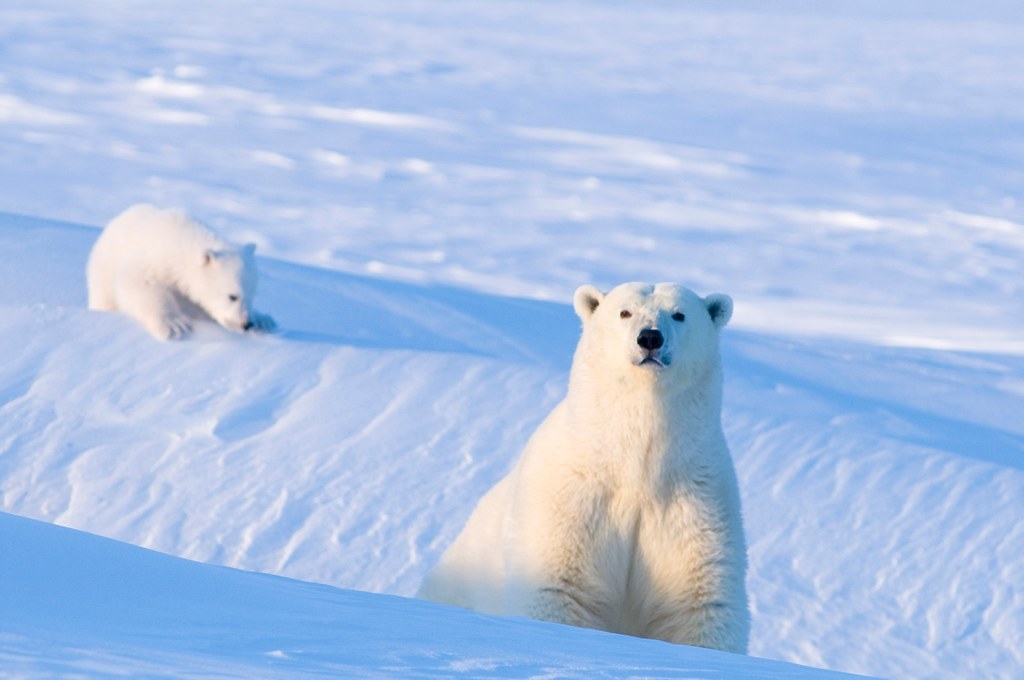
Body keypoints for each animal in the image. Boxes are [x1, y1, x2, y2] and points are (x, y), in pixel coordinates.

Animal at [86, 201, 276, 340]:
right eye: (232, 296)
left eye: (253, 294)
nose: (246, 324)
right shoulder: (156, 259)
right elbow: (138, 282)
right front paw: (174, 325)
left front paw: (263, 321)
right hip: (103, 276)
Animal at [419, 280, 749, 655]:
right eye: (624, 312)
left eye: (679, 314)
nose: (650, 338)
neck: (634, 466)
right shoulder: (573, 500)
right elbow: (560, 586)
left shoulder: (692, 503)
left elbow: (698, 604)